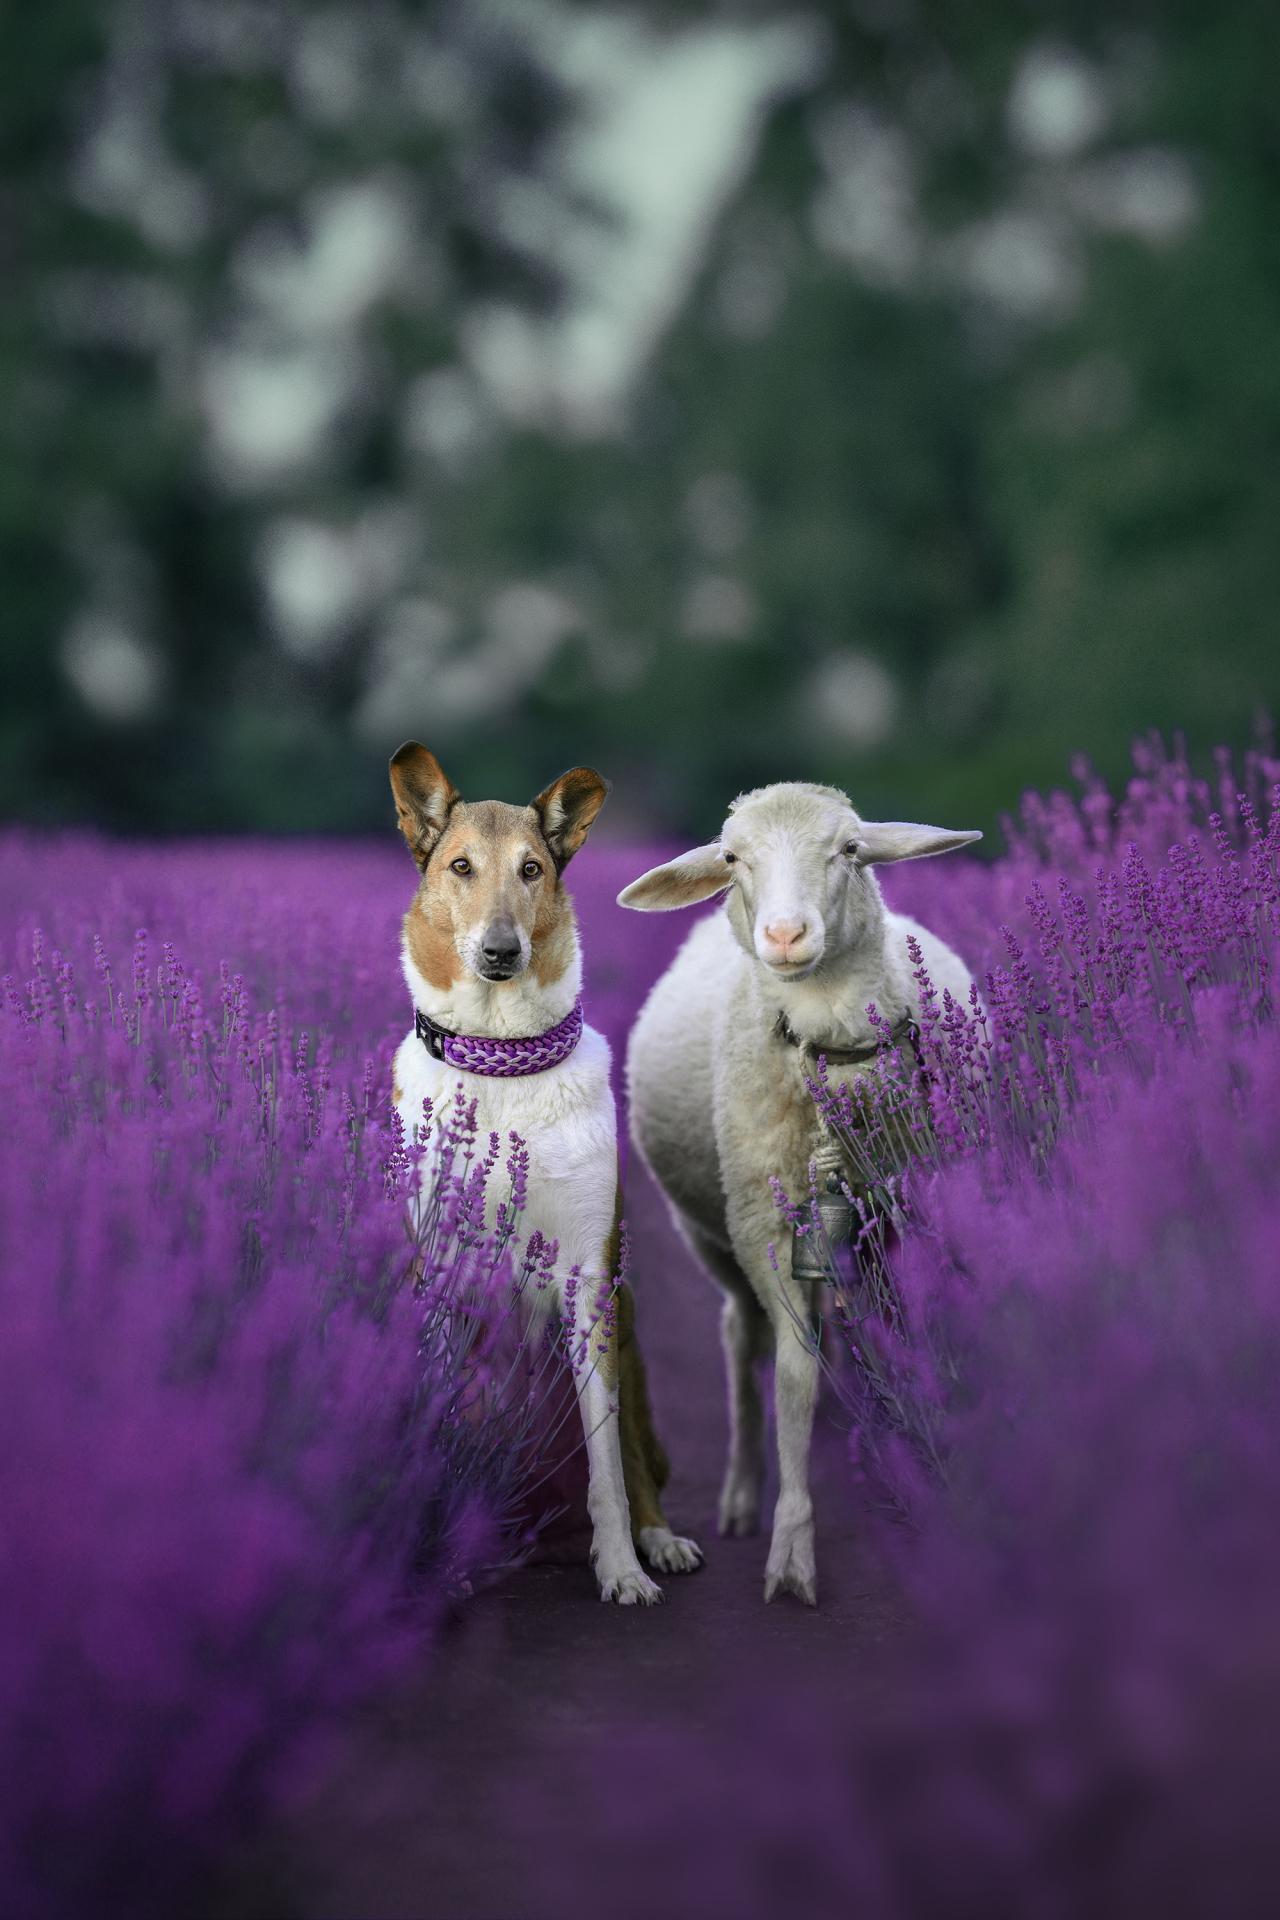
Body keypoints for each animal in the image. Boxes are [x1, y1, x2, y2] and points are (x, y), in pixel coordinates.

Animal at [385, 741, 702, 1597]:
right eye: (460, 866)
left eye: (532, 870)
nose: (501, 952)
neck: (500, 1059)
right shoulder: (440, 1277)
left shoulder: (588, 1283)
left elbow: (608, 1468)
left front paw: (623, 1569)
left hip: (629, 1337)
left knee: (638, 1463)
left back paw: (659, 1540)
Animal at [621, 779, 982, 1605]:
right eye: (731, 859)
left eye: (849, 849)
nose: (785, 935)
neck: (828, 1039)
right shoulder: (764, 1225)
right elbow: (792, 1375)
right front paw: (790, 1549)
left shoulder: (912, 1204)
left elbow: (908, 1333)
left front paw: (923, 1460)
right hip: (712, 1235)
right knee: (740, 1336)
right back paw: (742, 1493)